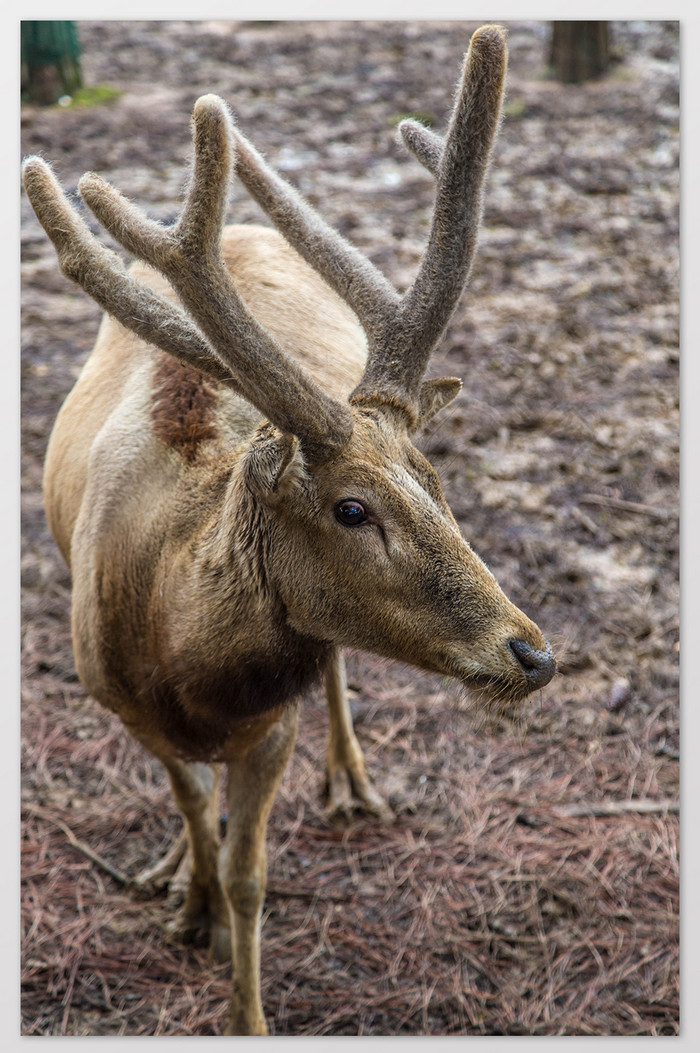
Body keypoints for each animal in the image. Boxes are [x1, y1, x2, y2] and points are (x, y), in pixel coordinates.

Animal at [21, 24, 555, 1036]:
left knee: (338, 671)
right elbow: (194, 808)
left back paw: (351, 782)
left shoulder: (273, 722)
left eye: (436, 482)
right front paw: (185, 901)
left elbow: (250, 873)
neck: (179, 654)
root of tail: (235, 226)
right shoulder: (117, 700)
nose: (532, 651)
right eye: (351, 508)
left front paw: (246, 1006)